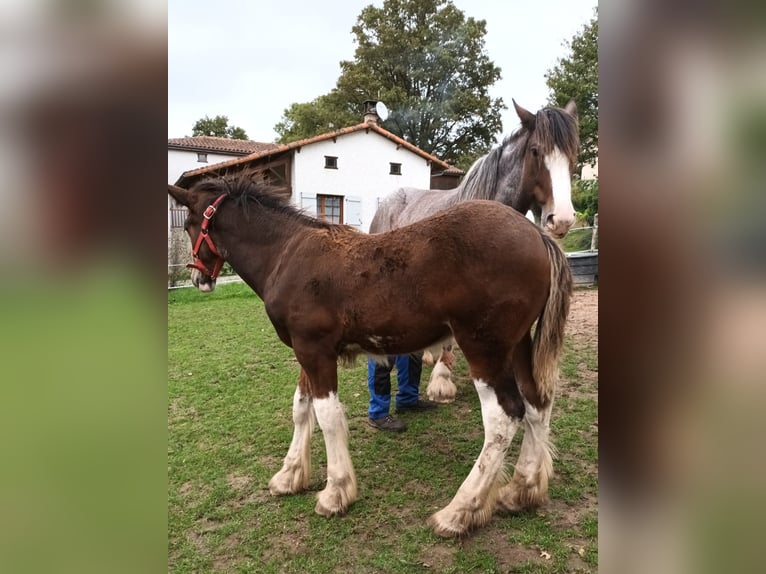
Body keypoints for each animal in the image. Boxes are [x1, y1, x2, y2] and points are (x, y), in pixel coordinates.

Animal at [170, 180, 576, 540]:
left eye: (188, 224)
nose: (199, 279)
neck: (286, 255)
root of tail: (537, 234)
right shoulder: (305, 351)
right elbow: (301, 409)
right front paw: (290, 476)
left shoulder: (316, 351)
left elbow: (327, 416)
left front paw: (335, 493)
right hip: (518, 344)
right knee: (537, 404)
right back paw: (522, 491)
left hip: (484, 348)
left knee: (504, 417)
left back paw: (460, 512)